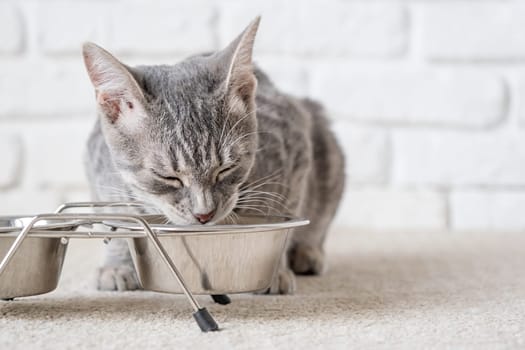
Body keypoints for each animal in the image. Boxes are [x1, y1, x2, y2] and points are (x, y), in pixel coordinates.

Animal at [82, 17, 344, 296]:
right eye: (167, 176)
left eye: (226, 169)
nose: (204, 215)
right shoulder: (101, 172)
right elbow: (117, 218)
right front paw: (117, 265)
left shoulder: (295, 147)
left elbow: (281, 213)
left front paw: (273, 269)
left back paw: (308, 252)